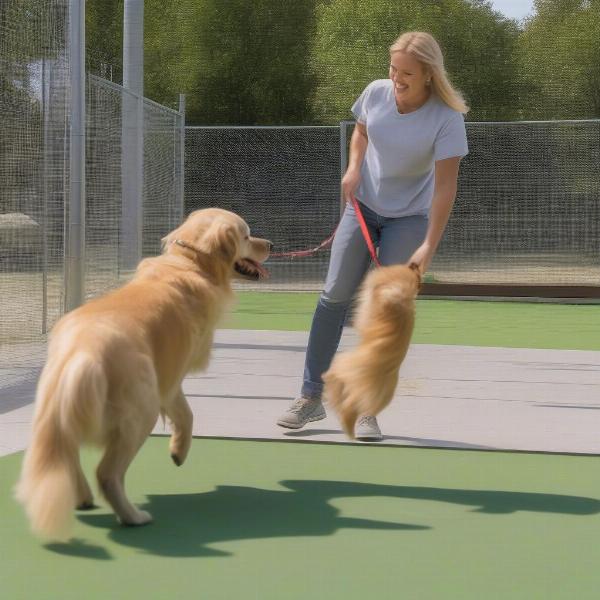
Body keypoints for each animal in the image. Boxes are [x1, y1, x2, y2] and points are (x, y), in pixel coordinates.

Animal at [15, 209, 270, 540]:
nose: (271, 244)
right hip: (141, 411)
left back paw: (82, 495)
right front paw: (179, 451)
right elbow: (186, 415)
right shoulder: (171, 378)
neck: (191, 262)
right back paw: (133, 516)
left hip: (59, 410)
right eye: (247, 236)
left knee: (66, 455)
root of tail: (82, 350)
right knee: (107, 473)